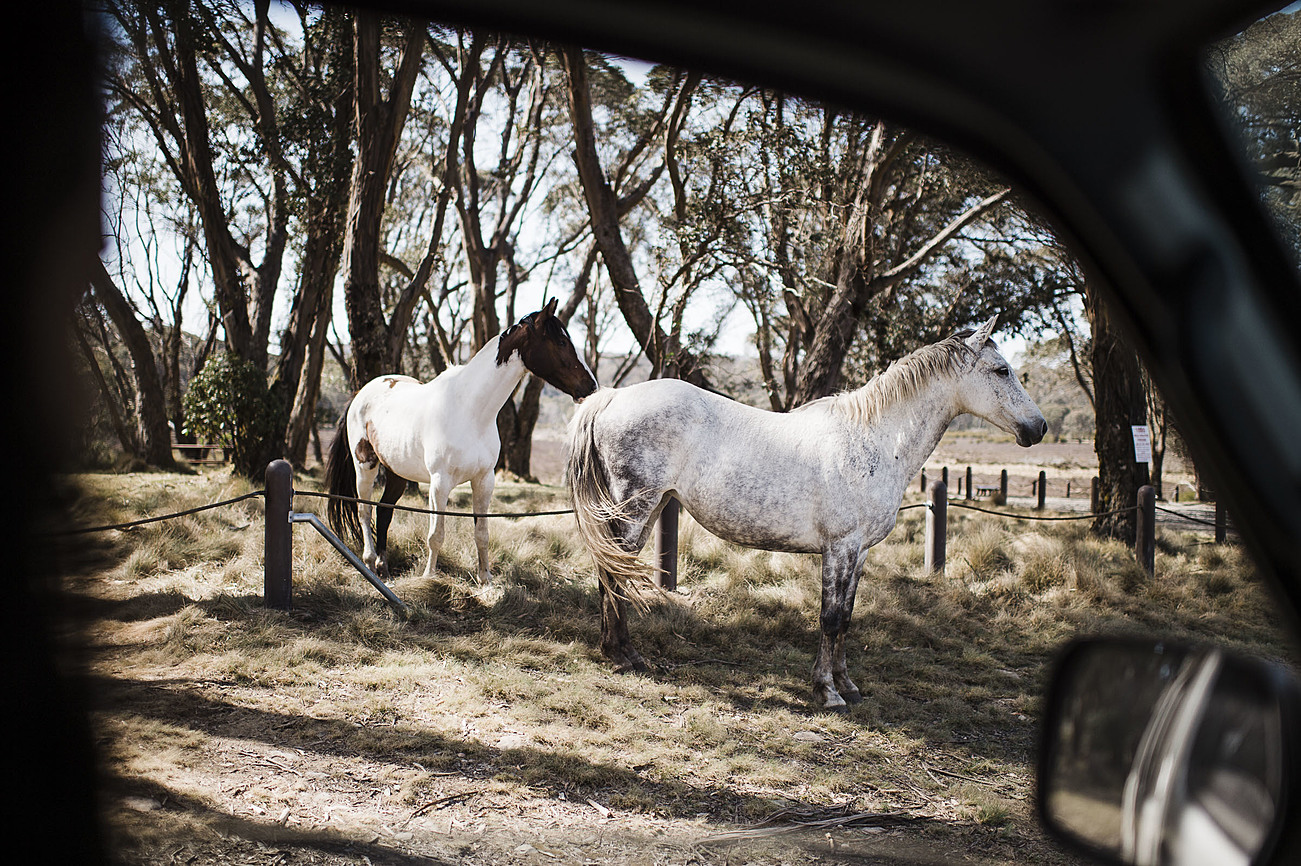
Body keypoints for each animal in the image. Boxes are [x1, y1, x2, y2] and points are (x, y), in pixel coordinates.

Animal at [325, 300, 595, 582]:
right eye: (561, 342)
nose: (590, 386)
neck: (470, 411)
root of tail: (361, 393)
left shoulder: (484, 481)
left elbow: (482, 533)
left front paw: (485, 578)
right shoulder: (439, 483)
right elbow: (436, 535)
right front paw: (429, 578)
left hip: (397, 472)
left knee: (384, 510)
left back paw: (383, 567)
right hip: (365, 466)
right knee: (364, 510)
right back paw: (368, 562)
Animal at [569, 317, 1046, 707]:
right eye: (1001, 370)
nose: (1038, 427)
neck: (873, 440)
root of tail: (610, 398)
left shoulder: (860, 552)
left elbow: (847, 618)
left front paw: (848, 684)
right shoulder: (839, 549)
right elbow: (830, 618)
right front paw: (827, 691)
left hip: (649, 510)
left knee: (614, 571)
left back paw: (621, 652)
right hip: (635, 508)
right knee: (612, 573)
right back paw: (624, 655)